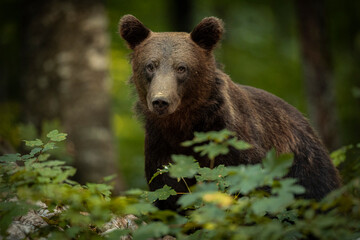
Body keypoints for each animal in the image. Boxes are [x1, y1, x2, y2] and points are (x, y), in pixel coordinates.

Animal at [119, 15, 342, 210]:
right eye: (150, 65)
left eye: (181, 68)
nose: (160, 101)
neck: (185, 124)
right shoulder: (161, 148)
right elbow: (168, 193)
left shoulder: (232, 141)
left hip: (306, 165)